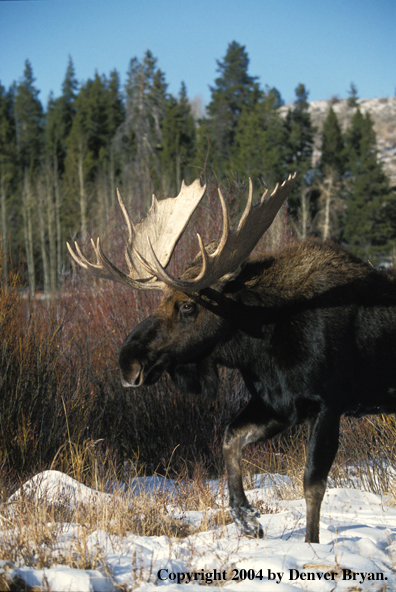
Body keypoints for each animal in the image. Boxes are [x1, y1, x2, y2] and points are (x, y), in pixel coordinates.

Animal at [66, 173, 396, 544]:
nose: (129, 362)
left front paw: (310, 544)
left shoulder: (328, 403)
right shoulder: (278, 404)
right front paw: (246, 518)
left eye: (187, 306)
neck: (263, 341)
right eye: (161, 301)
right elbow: (230, 438)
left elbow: (313, 484)